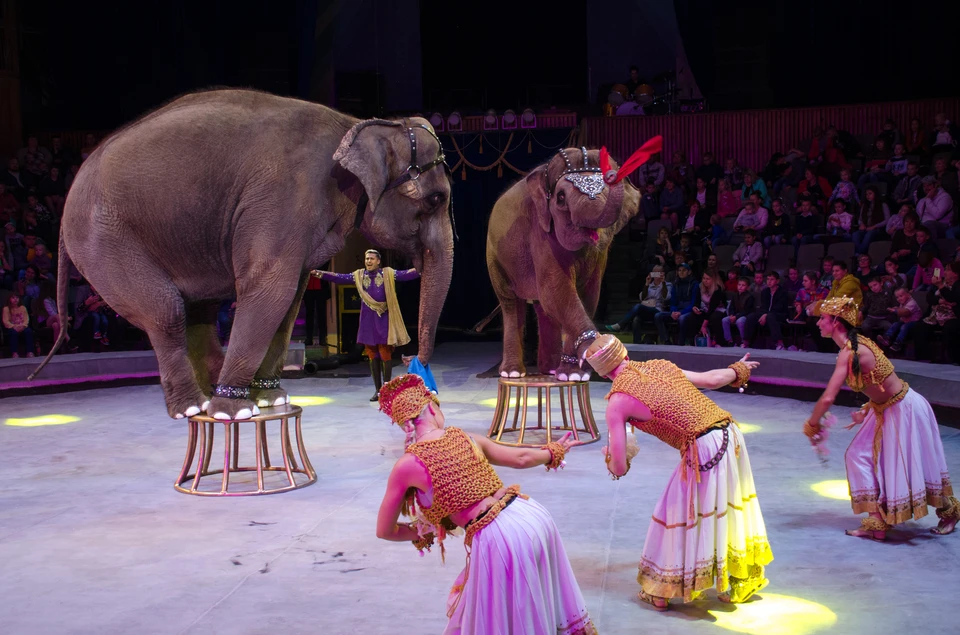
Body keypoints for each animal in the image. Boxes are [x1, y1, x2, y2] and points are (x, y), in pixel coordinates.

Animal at [26, 87, 454, 420]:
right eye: (436, 199)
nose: (416, 366)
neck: (359, 123)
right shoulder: (284, 197)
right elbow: (271, 288)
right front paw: (238, 410)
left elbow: (290, 299)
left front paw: (270, 399)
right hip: (104, 238)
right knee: (167, 309)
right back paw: (197, 408)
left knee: (196, 309)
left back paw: (212, 398)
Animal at [492, 147, 640, 380]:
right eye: (560, 197)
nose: (611, 174)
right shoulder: (540, 231)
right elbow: (556, 290)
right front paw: (594, 351)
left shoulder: (600, 253)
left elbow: (588, 293)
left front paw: (574, 375)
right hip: (495, 259)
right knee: (511, 303)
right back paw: (513, 373)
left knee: (543, 309)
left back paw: (550, 369)